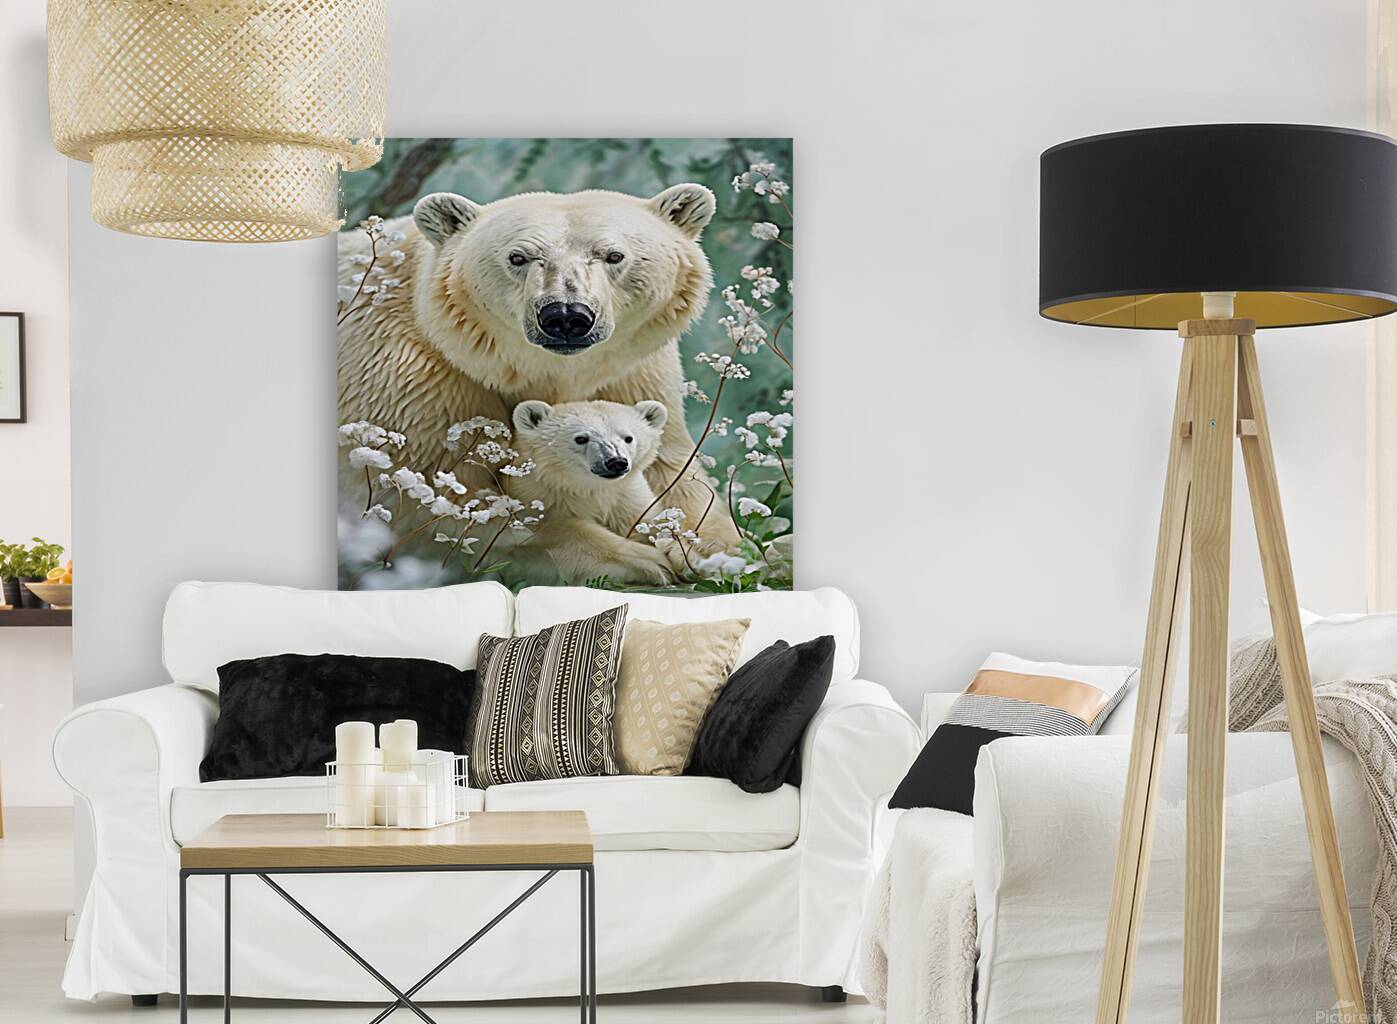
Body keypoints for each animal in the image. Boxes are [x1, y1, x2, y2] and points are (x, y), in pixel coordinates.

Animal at [507, 398, 678, 586]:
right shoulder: (545, 500)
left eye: (628, 438)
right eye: (581, 438)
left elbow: (647, 519)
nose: (616, 462)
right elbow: (574, 537)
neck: (591, 488)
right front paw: (657, 565)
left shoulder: (627, 497)